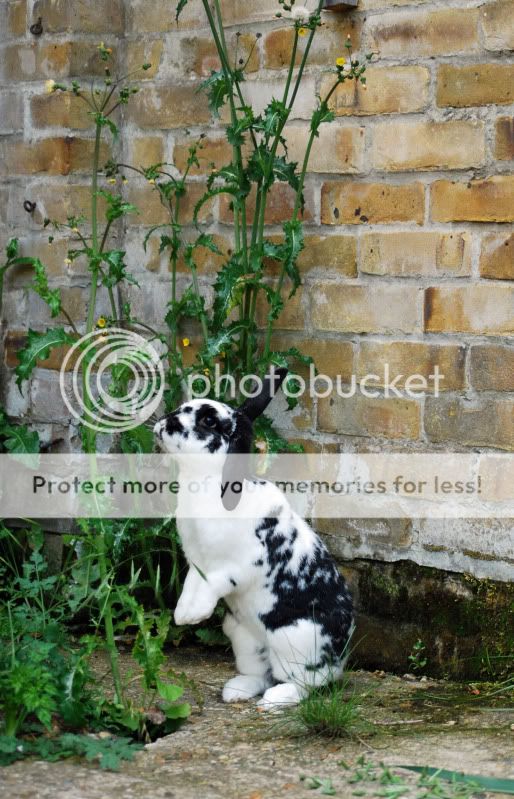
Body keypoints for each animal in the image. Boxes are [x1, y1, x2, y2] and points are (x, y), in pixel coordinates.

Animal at [152, 370, 352, 712]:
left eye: (209, 421)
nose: (166, 422)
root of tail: (342, 655)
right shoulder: (197, 564)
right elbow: (192, 586)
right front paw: (182, 614)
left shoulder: (232, 568)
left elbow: (213, 585)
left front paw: (194, 615)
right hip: (242, 636)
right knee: (260, 673)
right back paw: (237, 690)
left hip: (295, 643)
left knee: (307, 684)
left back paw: (277, 699)